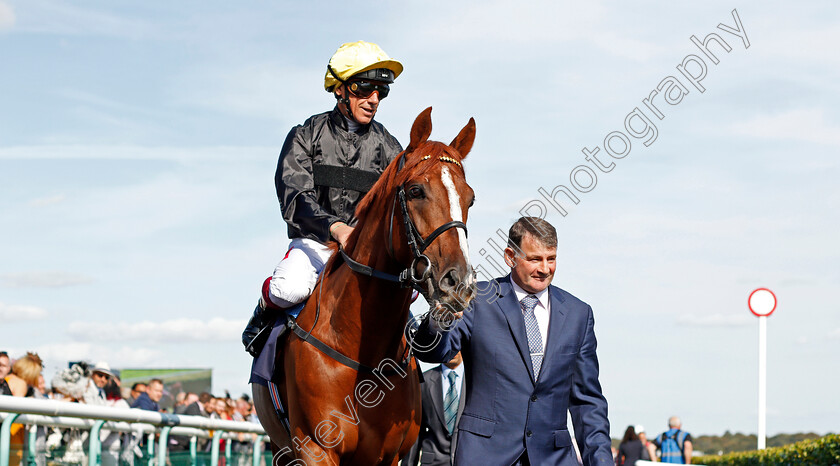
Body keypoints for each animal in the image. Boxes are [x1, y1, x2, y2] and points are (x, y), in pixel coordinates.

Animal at [254, 107, 480, 464]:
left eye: (470, 199)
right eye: (415, 190)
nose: (457, 282)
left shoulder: (389, 454)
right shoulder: (314, 447)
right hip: (280, 447)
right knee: (280, 289)